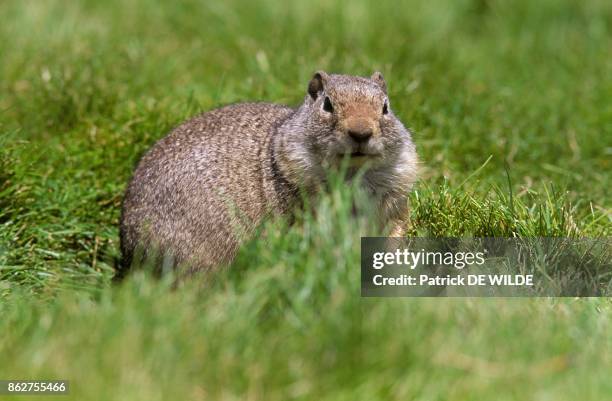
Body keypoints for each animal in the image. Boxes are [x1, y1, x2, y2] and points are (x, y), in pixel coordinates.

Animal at [119, 71, 418, 272]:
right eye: (327, 104)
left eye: (386, 107)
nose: (360, 132)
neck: (351, 174)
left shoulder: (394, 201)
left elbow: (394, 236)